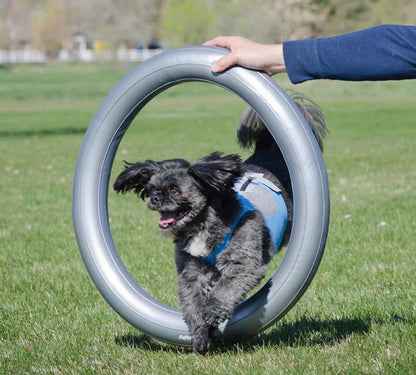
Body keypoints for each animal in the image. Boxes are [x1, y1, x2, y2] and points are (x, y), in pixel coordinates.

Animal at [114, 95, 328, 354]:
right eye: (152, 188)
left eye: (174, 190)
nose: (154, 198)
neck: (203, 224)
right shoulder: (192, 272)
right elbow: (193, 304)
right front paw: (201, 335)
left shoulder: (243, 262)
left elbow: (225, 288)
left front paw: (214, 312)